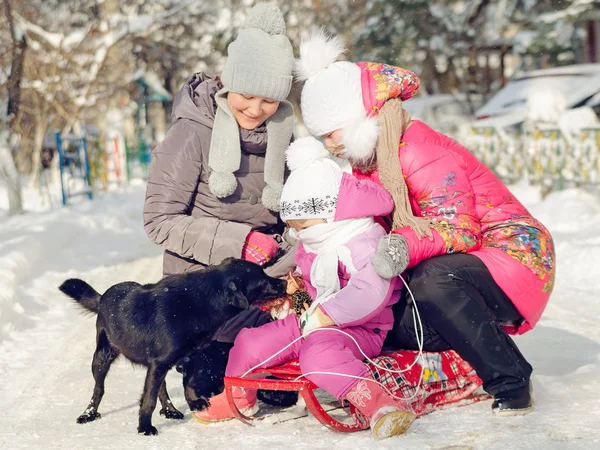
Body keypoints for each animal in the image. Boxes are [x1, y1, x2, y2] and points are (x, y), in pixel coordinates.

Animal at [59, 258, 286, 434]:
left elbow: (189, 383)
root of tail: (103, 298)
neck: (202, 300)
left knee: (161, 387)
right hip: (102, 357)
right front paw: (144, 427)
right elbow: (148, 399)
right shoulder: (160, 362)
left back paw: (170, 410)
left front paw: (194, 403)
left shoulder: (188, 357)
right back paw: (88, 413)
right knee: (99, 389)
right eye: (262, 281)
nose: (284, 282)